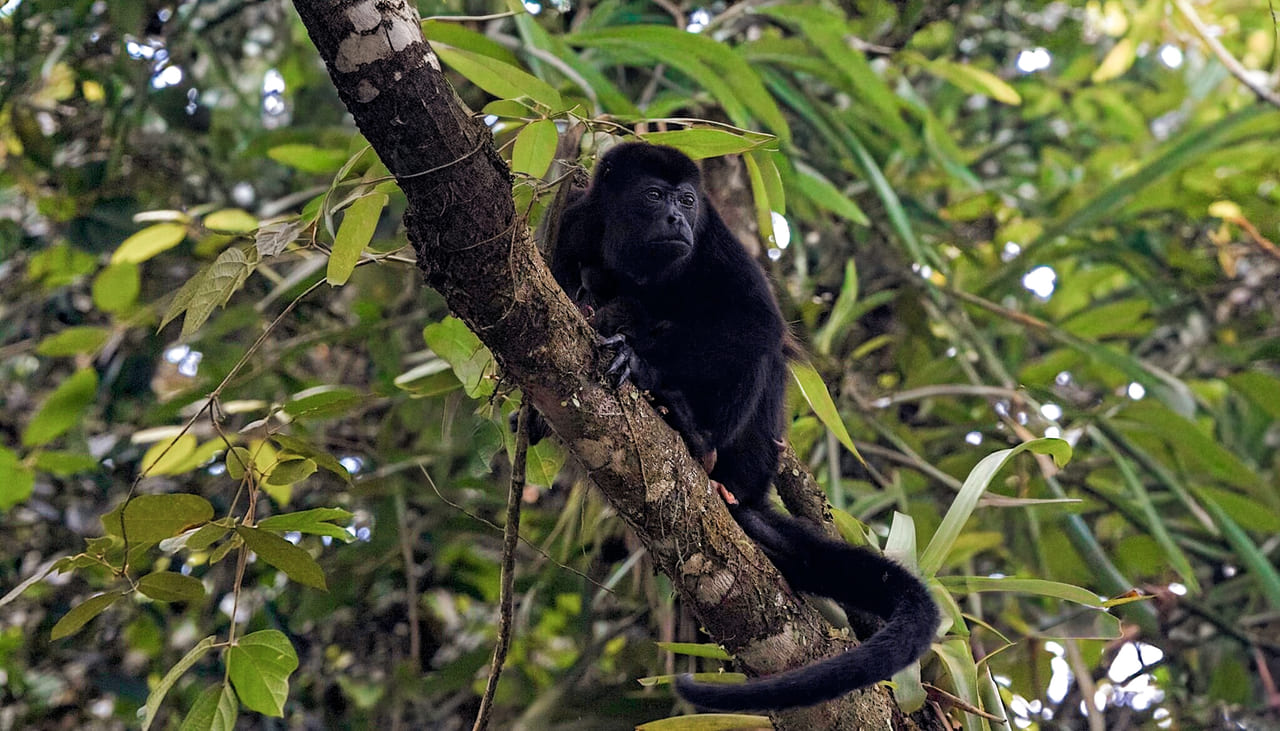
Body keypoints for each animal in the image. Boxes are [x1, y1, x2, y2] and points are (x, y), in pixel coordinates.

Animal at [534, 141, 940, 711]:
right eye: (654, 196)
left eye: (686, 199)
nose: (677, 218)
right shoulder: (575, 224)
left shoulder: (714, 239)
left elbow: (756, 324)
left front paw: (641, 364)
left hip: (748, 457)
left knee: (755, 354)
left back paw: (693, 434)